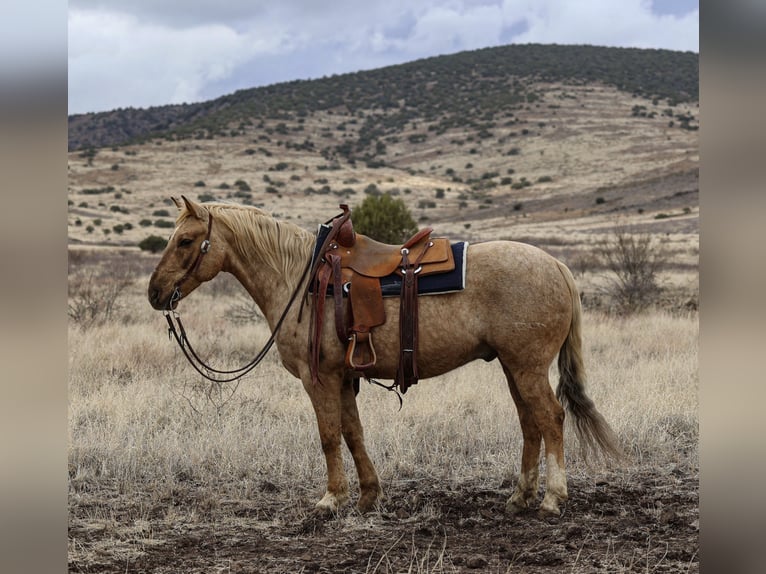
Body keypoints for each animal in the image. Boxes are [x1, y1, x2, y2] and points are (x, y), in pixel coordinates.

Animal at [147, 197, 620, 516]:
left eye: (186, 240)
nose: (154, 293)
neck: (299, 279)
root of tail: (556, 265)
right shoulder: (342, 378)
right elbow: (353, 433)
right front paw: (368, 495)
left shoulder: (318, 378)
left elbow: (329, 436)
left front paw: (331, 499)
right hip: (513, 366)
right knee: (530, 422)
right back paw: (520, 497)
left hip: (527, 366)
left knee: (551, 419)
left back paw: (553, 498)